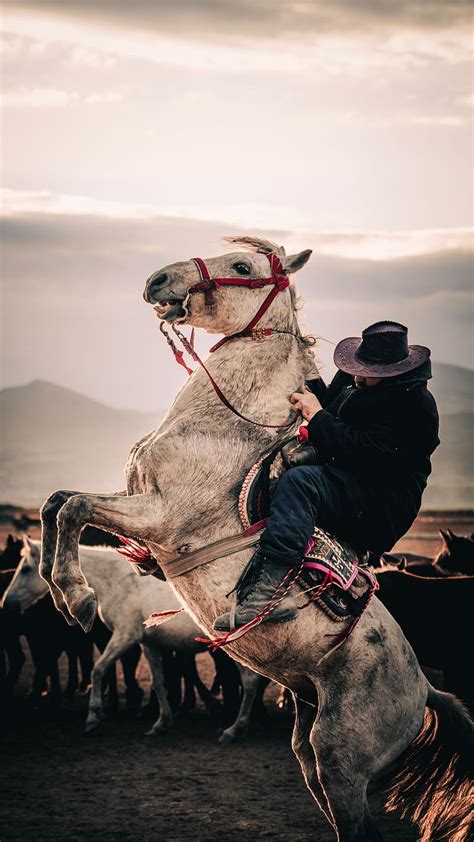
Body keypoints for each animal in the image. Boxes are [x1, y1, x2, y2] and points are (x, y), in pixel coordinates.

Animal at [3, 536, 262, 740]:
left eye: (25, 569)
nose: (7, 605)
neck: (118, 581)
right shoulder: (149, 643)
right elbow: (159, 682)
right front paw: (161, 723)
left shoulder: (125, 636)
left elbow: (98, 670)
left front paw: (93, 718)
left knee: (249, 682)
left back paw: (234, 729)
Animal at [41, 236, 474, 840]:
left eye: (243, 266)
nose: (157, 280)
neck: (223, 426)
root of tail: (423, 690)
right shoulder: (138, 511)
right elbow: (57, 502)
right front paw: (60, 589)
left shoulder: (161, 517)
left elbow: (74, 507)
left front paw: (77, 597)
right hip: (311, 744)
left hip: (340, 753)